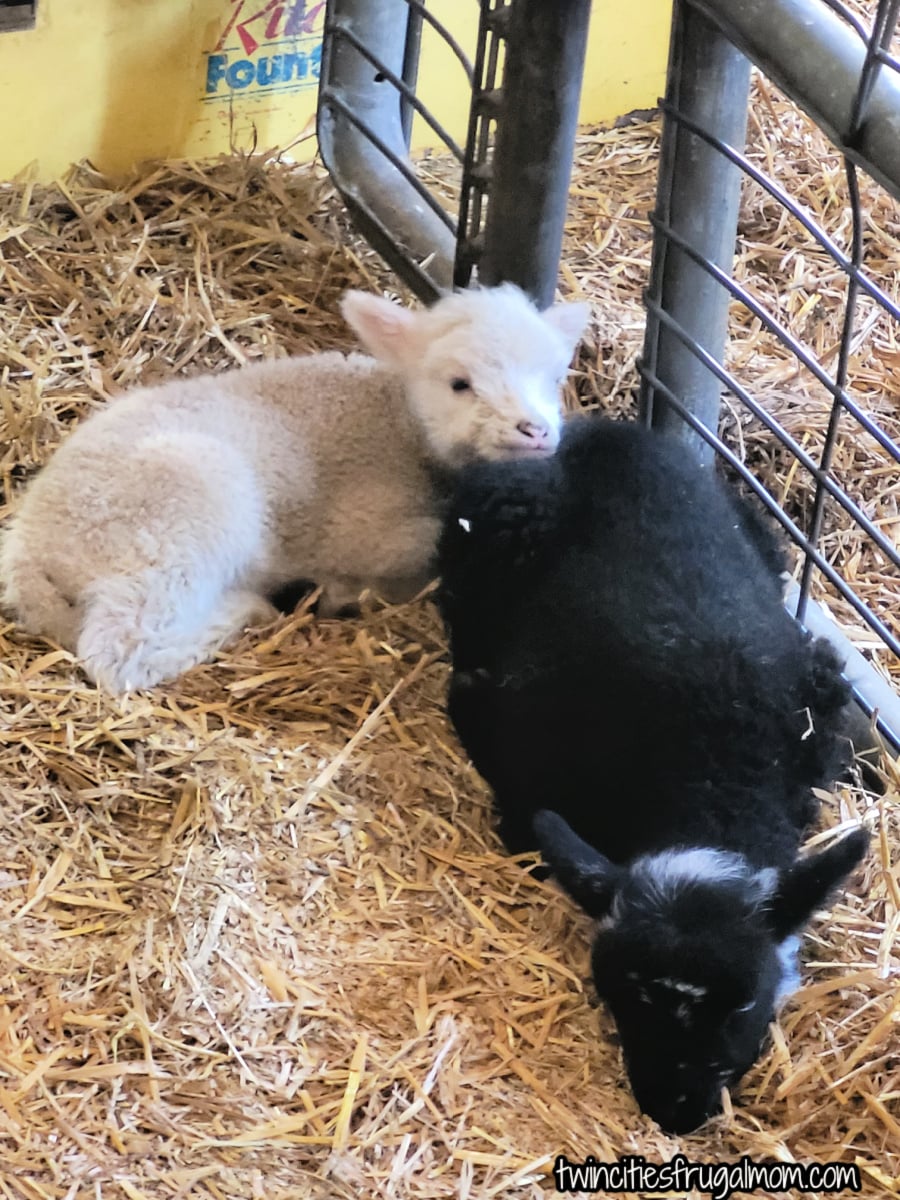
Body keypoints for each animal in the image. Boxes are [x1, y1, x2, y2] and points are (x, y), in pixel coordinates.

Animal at [0, 284, 589, 693]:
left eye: (554, 378)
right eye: (459, 384)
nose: (535, 431)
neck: (401, 423)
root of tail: (30, 544)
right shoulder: (363, 525)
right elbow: (416, 551)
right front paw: (350, 589)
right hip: (181, 519)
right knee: (119, 652)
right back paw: (242, 611)